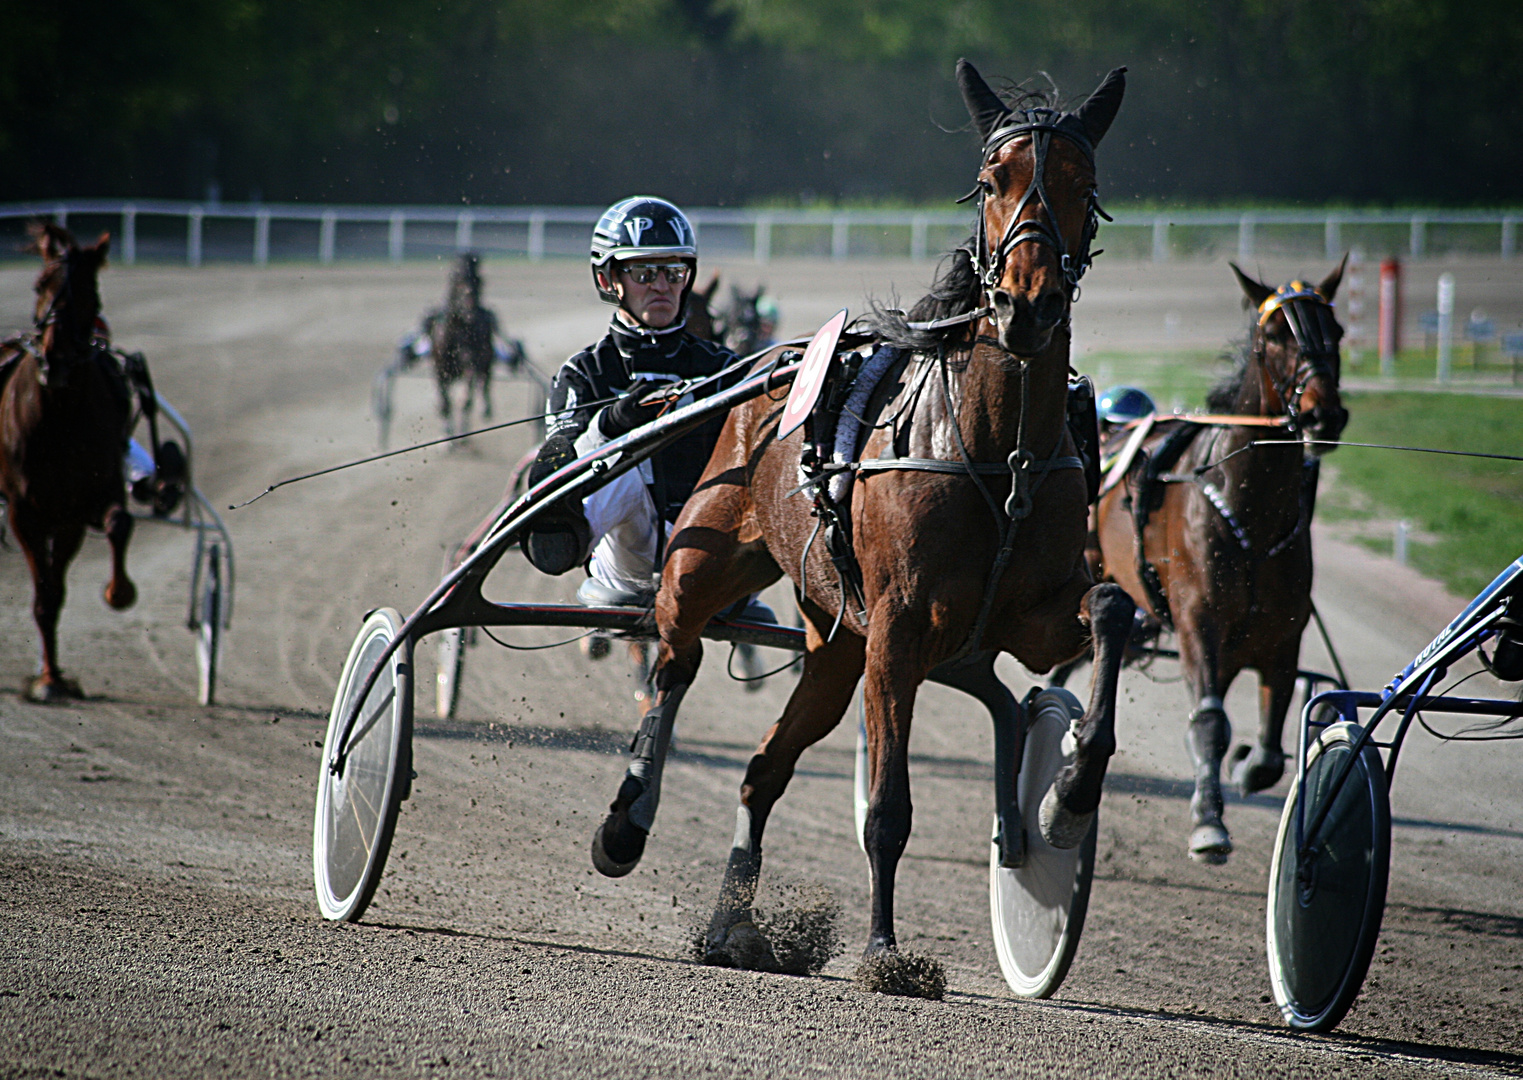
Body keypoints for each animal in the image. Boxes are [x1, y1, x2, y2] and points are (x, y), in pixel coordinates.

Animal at [0, 223, 137, 703]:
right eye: (40, 284)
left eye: (89, 292)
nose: (56, 357)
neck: (57, 414)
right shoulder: (25, 511)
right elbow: (44, 595)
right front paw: (48, 681)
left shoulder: (79, 507)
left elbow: (119, 523)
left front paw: (119, 592)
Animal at [587, 63, 1139, 980]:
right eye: (992, 181)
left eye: (1085, 186)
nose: (1027, 305)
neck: (995, 453)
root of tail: (768, 369)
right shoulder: (897, 631)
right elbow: (887, 809)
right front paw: (886, 950)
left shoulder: (1027, 619)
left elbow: (1108, 608)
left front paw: (1064, 800)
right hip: (710, 559)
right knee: (673, 655)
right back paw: (626, 820)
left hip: (833, 645)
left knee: (761, 769)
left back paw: (733, 924)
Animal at [1078, 260, 1352, 859]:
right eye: (1273, 337)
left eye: (1338, 332)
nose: (1323, 414)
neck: (1249, 508)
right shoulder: (1197, 622)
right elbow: (1208, 722)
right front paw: (1209, 822)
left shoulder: (1279, 637)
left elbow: (1270, 747)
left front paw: (1246, 768)